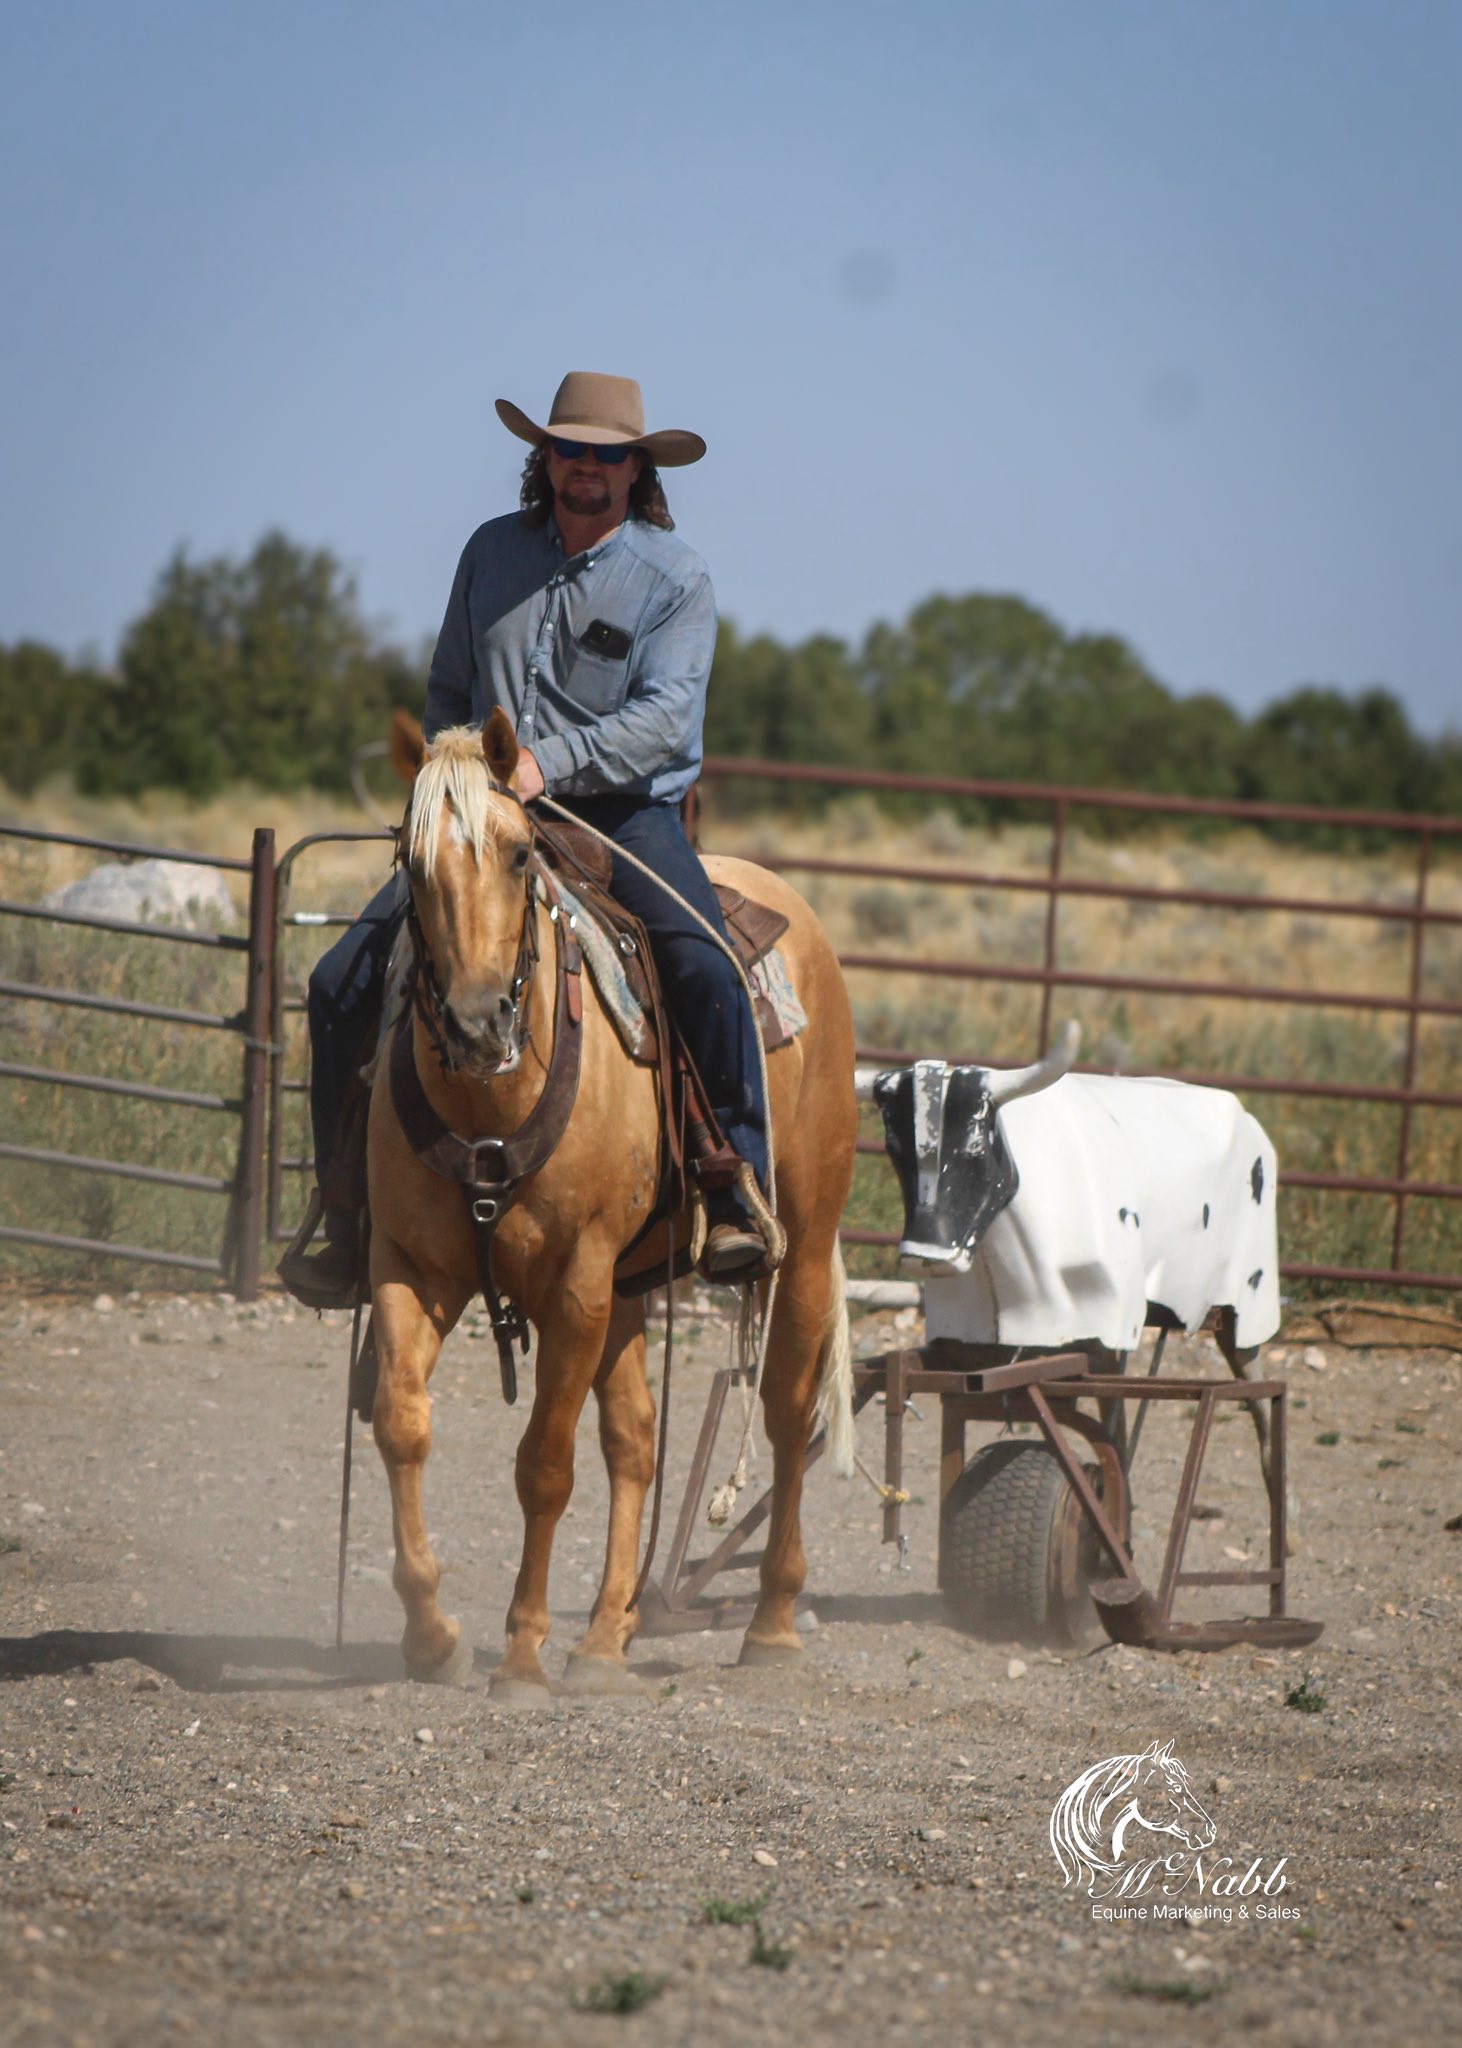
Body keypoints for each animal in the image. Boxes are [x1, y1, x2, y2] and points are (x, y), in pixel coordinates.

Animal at [364, 709, 858, 1700]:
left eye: (520, 853)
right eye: (410, 859)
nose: (476, 1023)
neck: (489, 1103)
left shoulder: (576, 1281)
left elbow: (545, 1466)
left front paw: (520, 1652)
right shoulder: (411, 1267)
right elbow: (403, 1426)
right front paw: (433, 1636)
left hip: (803, 1240)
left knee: (788, 1413)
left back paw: (773, 1623)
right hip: (630, 1286)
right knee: (636, 1437)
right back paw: (604, 1637)